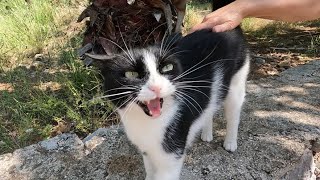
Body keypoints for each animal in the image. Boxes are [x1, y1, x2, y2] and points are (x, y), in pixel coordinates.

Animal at [87, 1, 250, 180]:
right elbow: (149, 171)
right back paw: (207, 133)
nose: (156, 86)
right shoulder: (146, 151)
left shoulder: (171, 154)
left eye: (167, 67)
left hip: (237, 82)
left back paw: (230, 142)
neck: (148, 124)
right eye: (131, 74)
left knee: (233, 113)